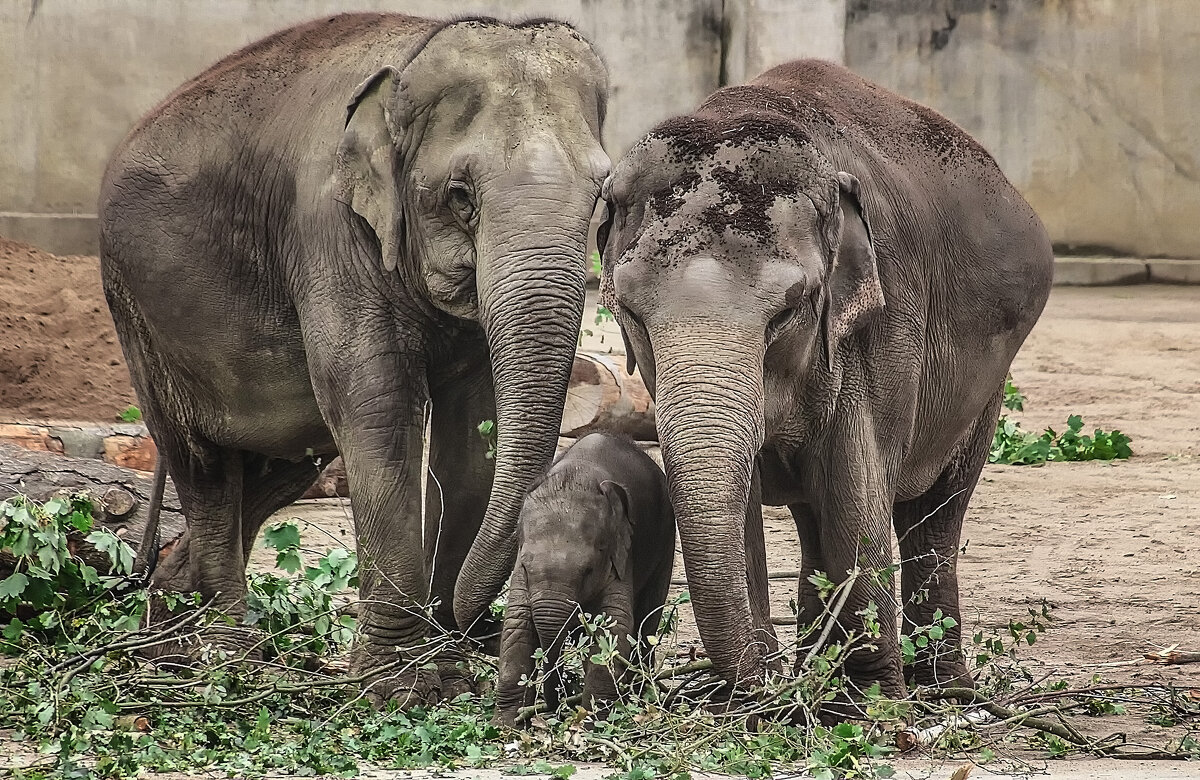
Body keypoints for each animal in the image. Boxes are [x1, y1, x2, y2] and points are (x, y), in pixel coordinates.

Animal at [99, 13, 609, 705]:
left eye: (600, 192)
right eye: (461, 195)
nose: (470, 624)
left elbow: (471, 426)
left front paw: (448, 668)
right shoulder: (329, 230)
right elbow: (377, 408)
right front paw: (404, 685)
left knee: (277, 468)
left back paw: (166, 632)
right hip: (138, 313)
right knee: (202, 465)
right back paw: (229, 657)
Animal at [489, 432, 676, 724]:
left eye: (588, 570)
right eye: (528, 568)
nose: (554, 706)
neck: (577, 475)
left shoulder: (621, 554)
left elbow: (613, 627)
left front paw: (592, 724)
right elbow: (517, 623)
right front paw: (506, 725)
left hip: (666, 540)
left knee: (648, 620)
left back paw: (640, 694)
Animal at [600, 59, 1051, 700]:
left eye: (789, 310)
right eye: (631, 312)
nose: (759, 681)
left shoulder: (881, 330)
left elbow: (856, 499)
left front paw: (869, 704)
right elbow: (750, 511)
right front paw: (763, 700)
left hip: (990, 375)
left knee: (938, 510)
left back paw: (942, 692)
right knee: (816, 519)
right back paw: (819, 672)